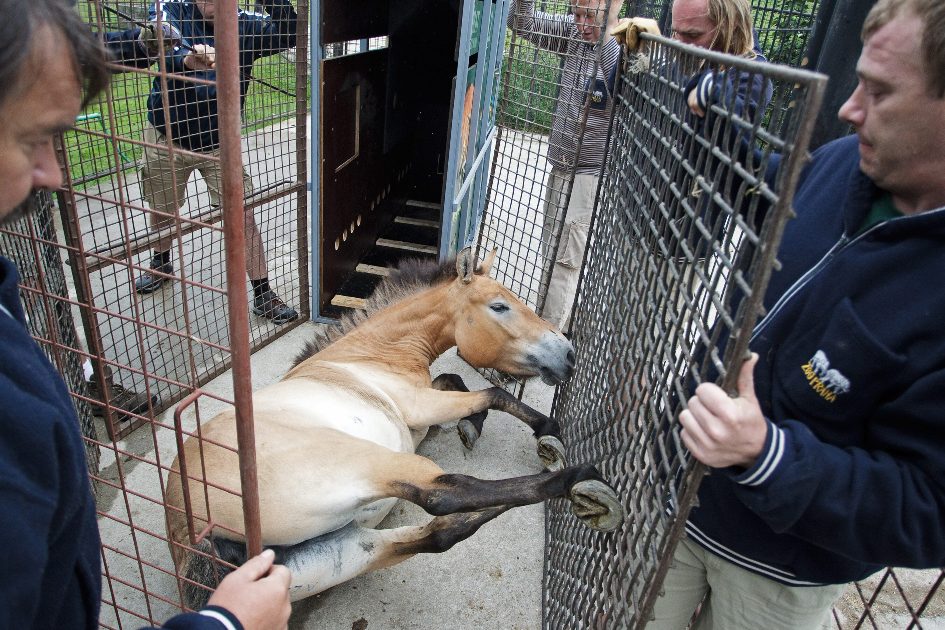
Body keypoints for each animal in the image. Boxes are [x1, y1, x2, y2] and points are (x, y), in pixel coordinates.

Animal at [166, 248, 624, 608]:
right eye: (499, 306)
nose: (567, 353)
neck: (370, 354)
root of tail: (190, 533)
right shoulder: (419, 406)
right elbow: (492, 394)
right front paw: (543, 431)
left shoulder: (419, 415)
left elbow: (456, 380)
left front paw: (471, 427)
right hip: (370, 462)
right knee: (445, 493)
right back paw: (583, 486)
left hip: (346, 551)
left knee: (442, 532)